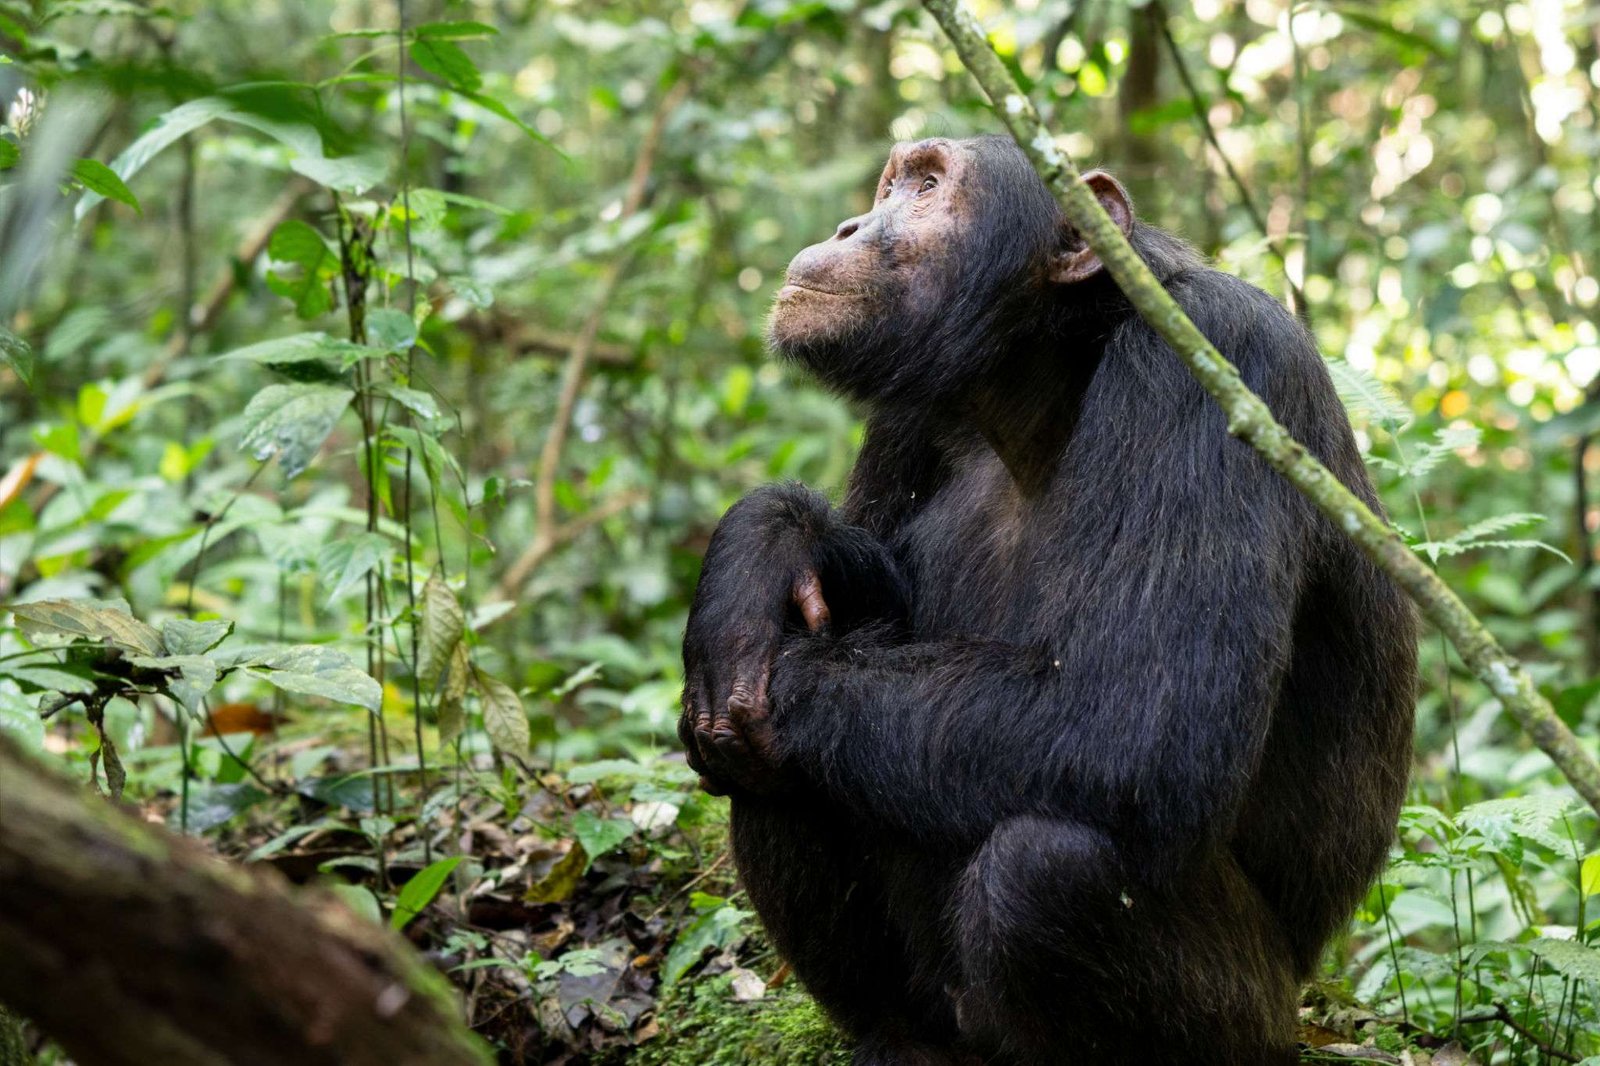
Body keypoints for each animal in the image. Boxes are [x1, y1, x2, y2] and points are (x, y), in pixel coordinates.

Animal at [675, 135, 1414, 1062]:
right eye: (891, 185)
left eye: (927, 184)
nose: (851, 224)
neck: (1044, 378)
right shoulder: (909, 416)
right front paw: (763, 549)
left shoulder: (1213, 361)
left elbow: (1131, 721)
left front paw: (781, 667)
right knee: (779, 780)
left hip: (1258, 1023)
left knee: (1048, 871)